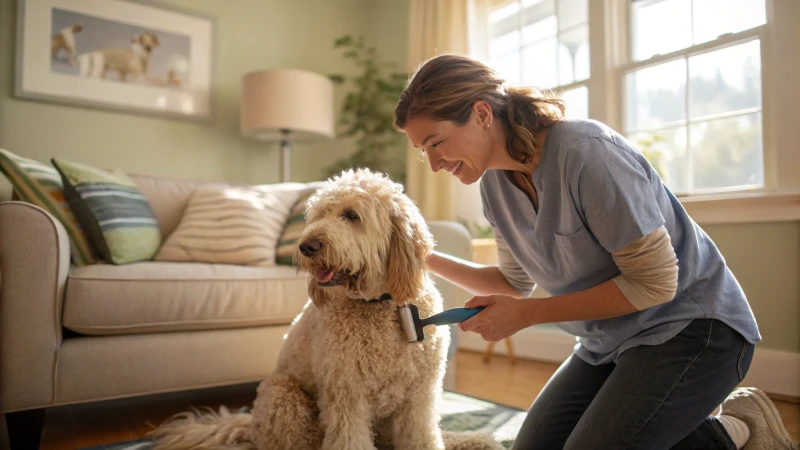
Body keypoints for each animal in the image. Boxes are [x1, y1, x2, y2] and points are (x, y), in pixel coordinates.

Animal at [148, 170, 500, 450]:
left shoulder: (419, 398)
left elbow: (424, 439)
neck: (380, 304)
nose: (306, 247)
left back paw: (472, 440)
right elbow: (350, 441)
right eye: (318, 215)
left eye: (352, 216)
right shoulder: (346, 396)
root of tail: (250, 424)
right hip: (283, 395)